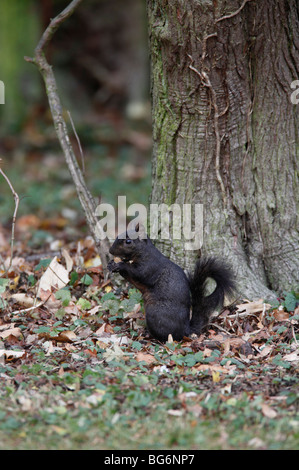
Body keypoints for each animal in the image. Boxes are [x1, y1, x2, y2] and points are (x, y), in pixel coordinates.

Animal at [108, 224, 237, 342]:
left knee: (169, 336)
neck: (143, 253)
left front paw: (120, 265)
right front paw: (112, 264)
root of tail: (186, 330)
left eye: (128, 241)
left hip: (155, 314)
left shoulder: (149, 267)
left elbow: (138, 273)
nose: (110, 250)